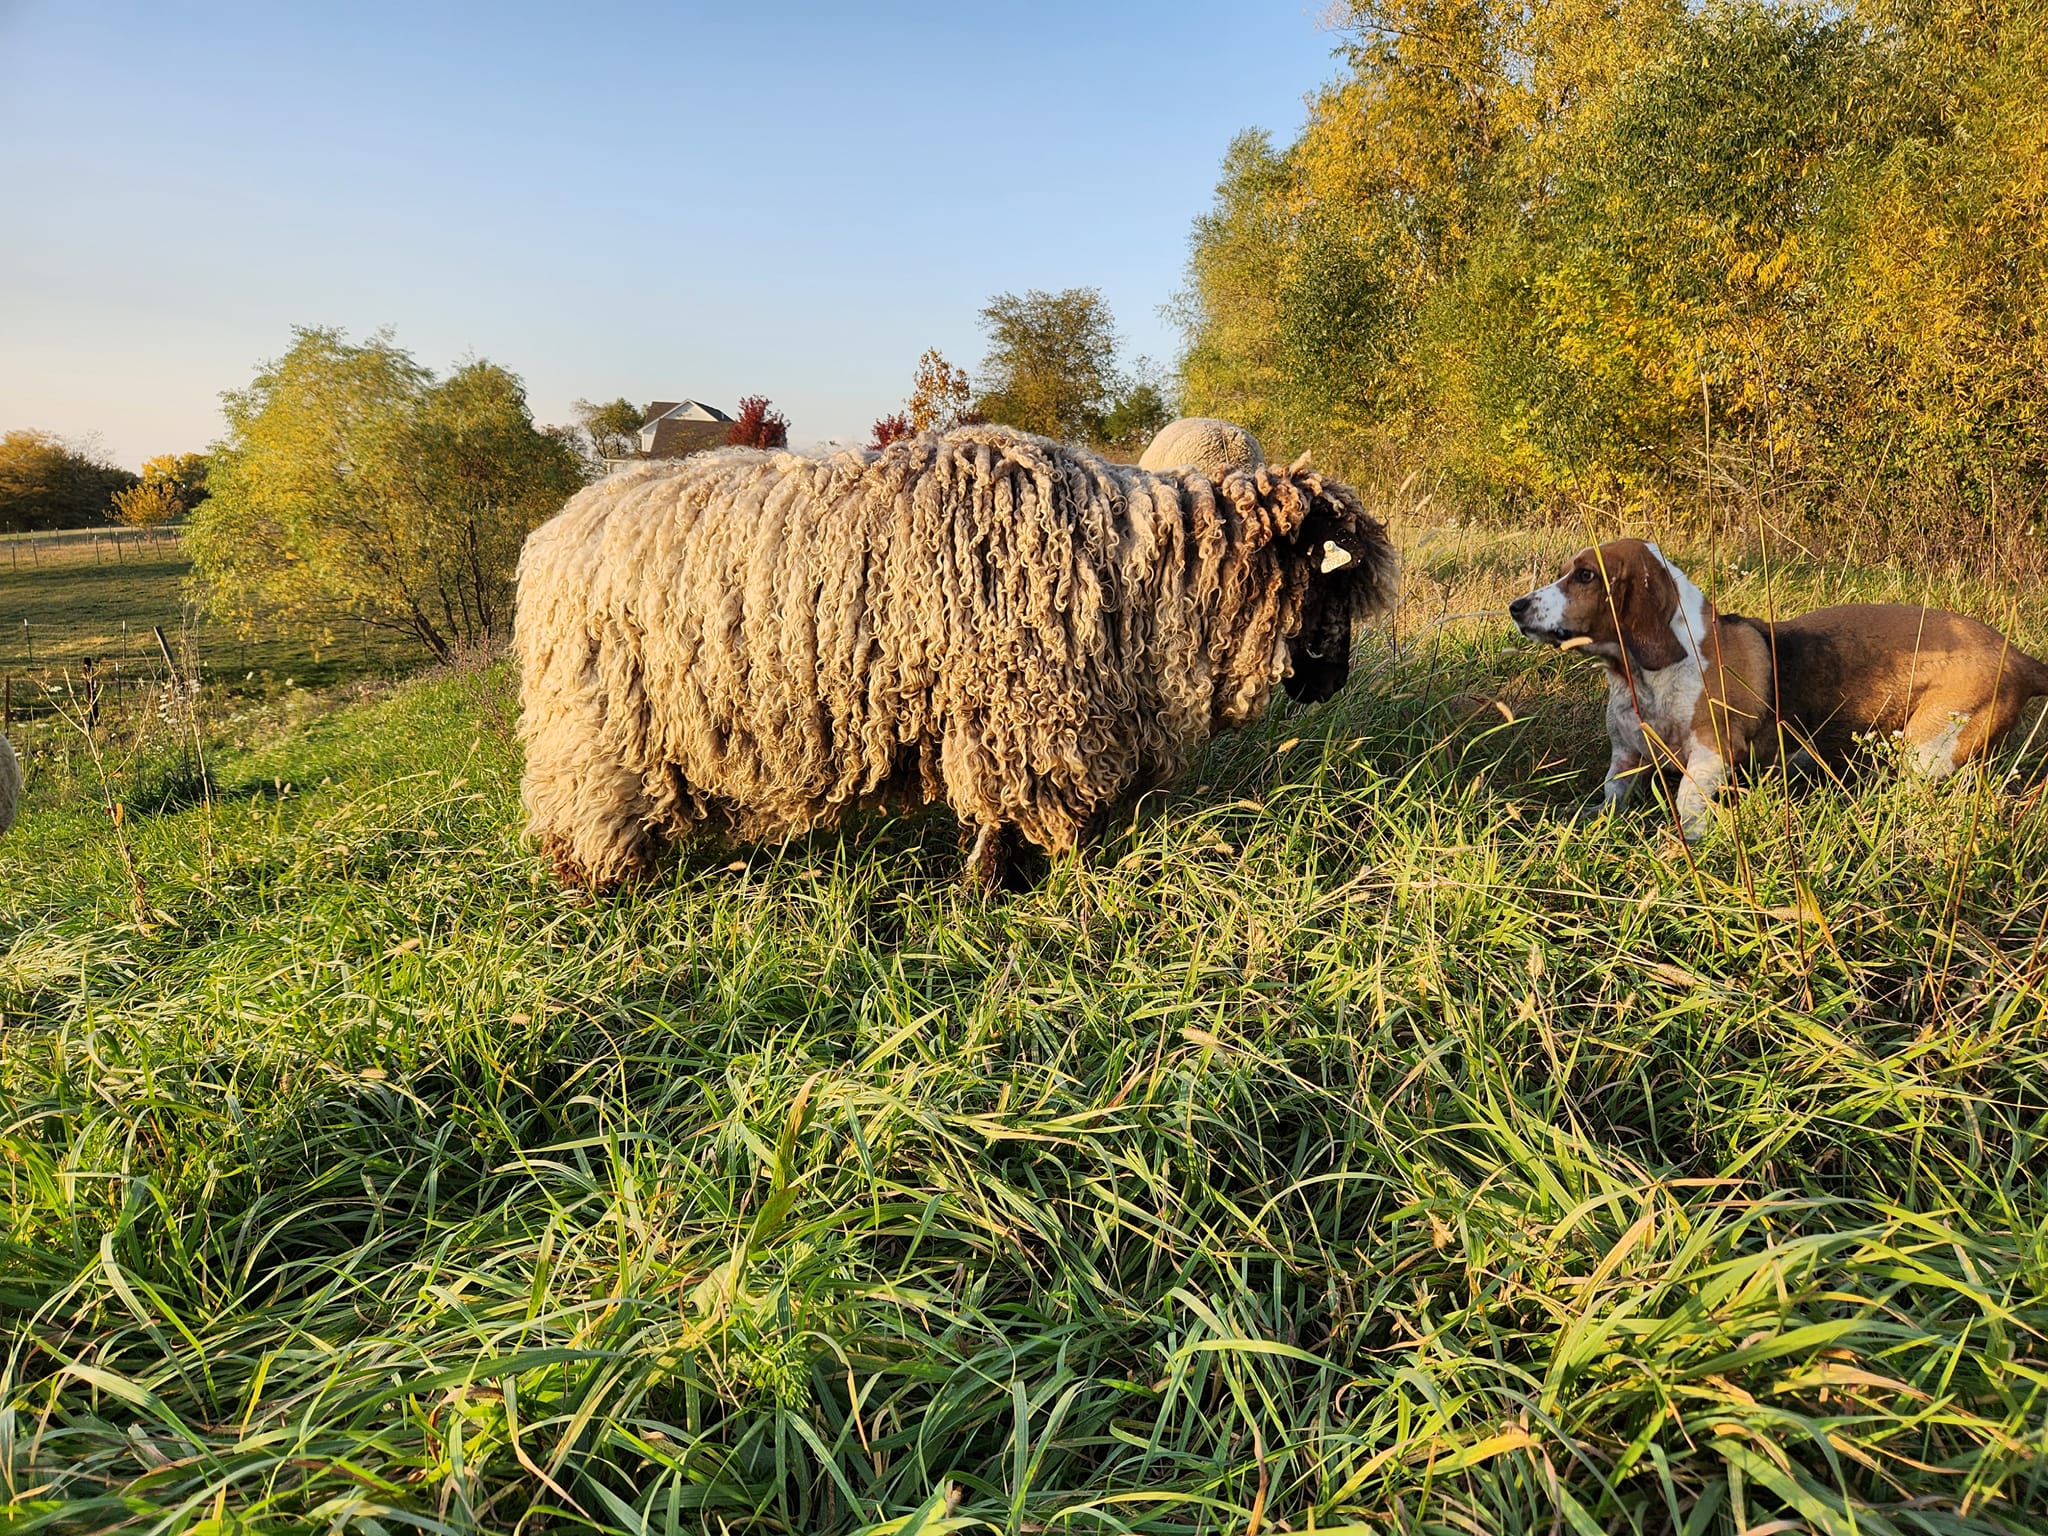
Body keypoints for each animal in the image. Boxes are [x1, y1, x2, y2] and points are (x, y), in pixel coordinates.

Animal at [515, 424, 1394, 891]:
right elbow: (1012, 818)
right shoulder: (1020, 716)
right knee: (583, 819)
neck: (1140, 567)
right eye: (1333, 583)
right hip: (598, 731)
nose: (1333, 683)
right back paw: (606, 896)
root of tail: (557, 530)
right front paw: (991, 891)